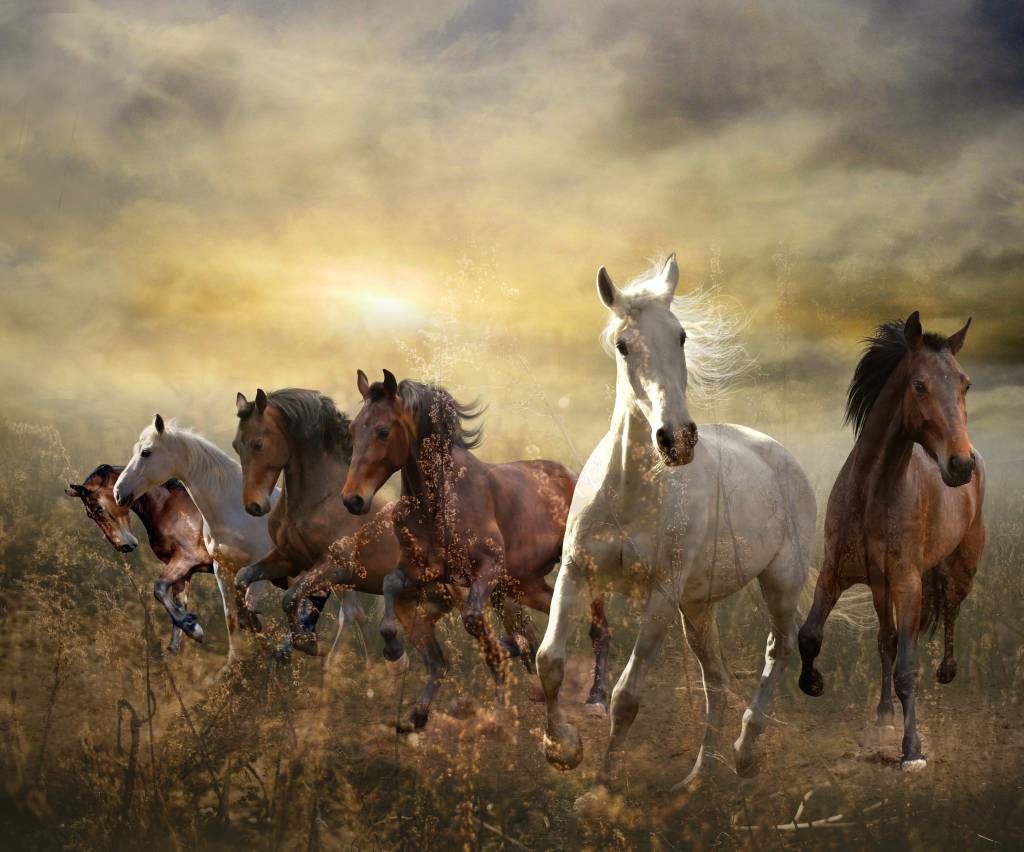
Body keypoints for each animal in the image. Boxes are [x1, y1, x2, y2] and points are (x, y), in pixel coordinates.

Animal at [66, 463, 214, 651]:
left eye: (99, 508)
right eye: (90, 515)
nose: (124, 545)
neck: (168, 506)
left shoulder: (186, 558)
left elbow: (159, 588)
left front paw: (193, 629)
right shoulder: (185, 571)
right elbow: (178, 604)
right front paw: (180, 639)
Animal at [114, 415, 277, 668]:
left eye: (146, 452)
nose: (118, 492)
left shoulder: (257, 573)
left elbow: (248, 614)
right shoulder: (222, 570)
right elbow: (232, 618)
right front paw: (232, 665)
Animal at [340, 370, 612, 732]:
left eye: (383, 430)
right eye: (353, 430)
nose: (353, 499)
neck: (440, 501)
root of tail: (572, 476)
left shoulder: (488, 567)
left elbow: (473, 621)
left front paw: (505, 663)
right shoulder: (425, 571)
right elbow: (390, 586)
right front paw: (396, 659)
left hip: (583, 565)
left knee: (599, 628)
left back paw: (596, 700)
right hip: (523, 584)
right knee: (552, 610)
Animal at [535, 254, 816, 798]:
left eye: (681, 336)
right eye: (623, 345)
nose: (678, 439)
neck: (630, 492)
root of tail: (780, 454)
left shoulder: (662, 595)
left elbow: (626, 695)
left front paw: (604, 786)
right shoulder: (577, 573)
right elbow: (550, 660)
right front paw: (563, 750)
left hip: (779, 582)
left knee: (779, 650)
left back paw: (745, 753)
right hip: (699, 607)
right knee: (718, 682)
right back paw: (696, 780)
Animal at [798, 312, 985, 771]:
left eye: (965, 384)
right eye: (919, 385)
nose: (961, 465)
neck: (873, 494)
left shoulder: (908, 584)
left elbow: (906, 668)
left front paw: (912, 750)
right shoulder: (835, 573)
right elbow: (810, 635)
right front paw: (813, 683)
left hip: (960, 567)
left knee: (950, 609)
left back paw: (947, 671)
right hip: (881, 588)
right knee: (886, 640)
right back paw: (882, 715)